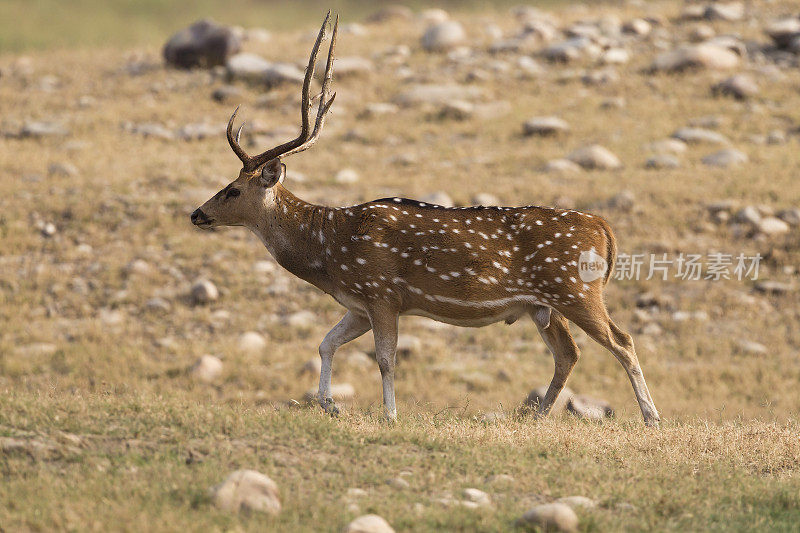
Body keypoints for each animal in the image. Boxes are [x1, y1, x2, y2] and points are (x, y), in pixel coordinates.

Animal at [191, 12, 660, 426]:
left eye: (233, 190)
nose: (197, 213)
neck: (329, 252)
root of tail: (603, 228)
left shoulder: (382, 292)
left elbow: (385, 359)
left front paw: (390, 415)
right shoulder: (359, 304)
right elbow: (325, 343)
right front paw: (330, 405)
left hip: (576, 289)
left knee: (621, 340)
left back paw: (650, 417)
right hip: (542, 304)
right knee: (568, 353)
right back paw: (537, 416)